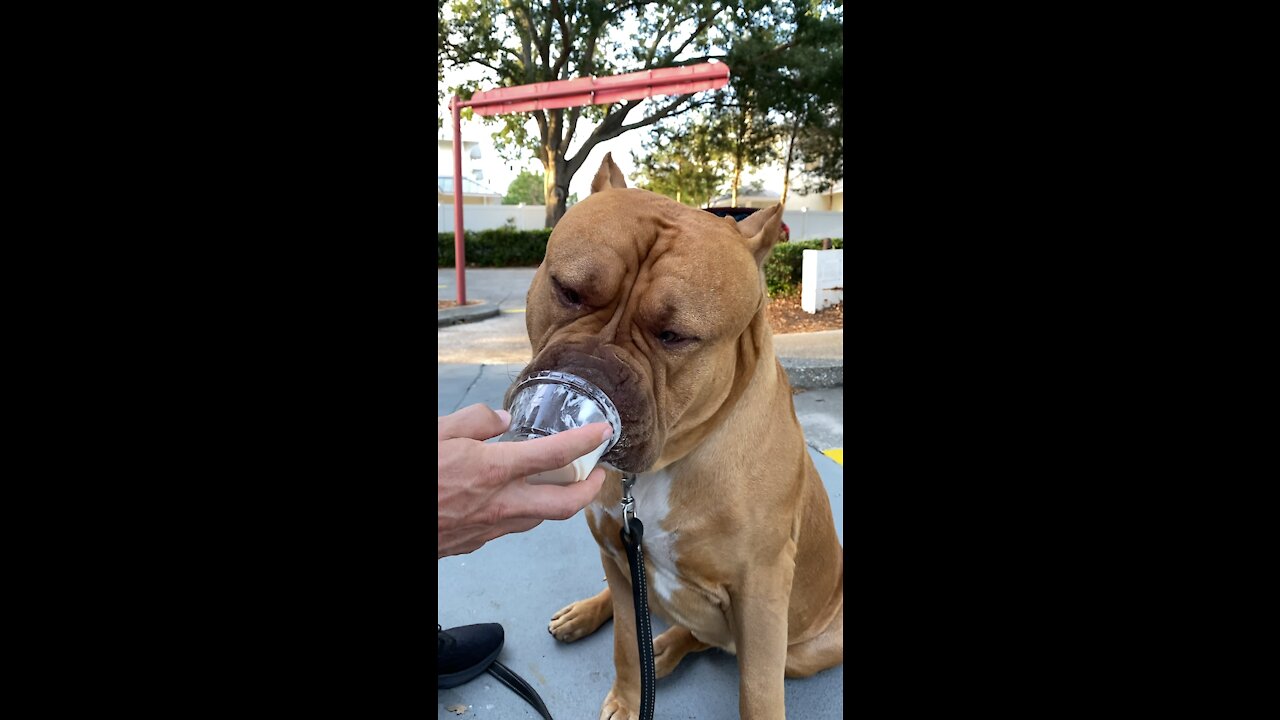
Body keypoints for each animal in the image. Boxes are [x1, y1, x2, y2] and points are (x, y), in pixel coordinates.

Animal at [504, 154, 844, 712]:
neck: (664, 464)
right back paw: (591, 615)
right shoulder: (618, 556)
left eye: (675, 336)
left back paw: (663, 650)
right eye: (568, 292)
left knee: (708, 638)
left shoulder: (761, 594)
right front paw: (629, 698)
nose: (589, 370)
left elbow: (757, 690)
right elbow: (626, 642)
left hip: (802, 647)